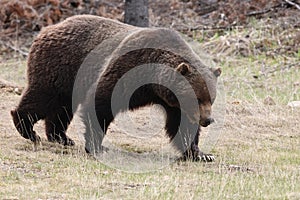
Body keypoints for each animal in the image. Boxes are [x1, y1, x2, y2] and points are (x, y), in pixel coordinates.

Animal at [11, 14, 220, 161]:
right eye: (198, 98)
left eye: (211, 98)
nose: (208, 120)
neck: (153, 80)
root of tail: (48, 28)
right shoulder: (127, 68)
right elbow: (101, 102)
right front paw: (97, 146)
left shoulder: (171, 101)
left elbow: (181, 124)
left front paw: (201, 154)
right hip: (60, 66)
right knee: (44, 96)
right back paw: (28, 129)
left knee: (62, 107)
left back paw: (61, 137)